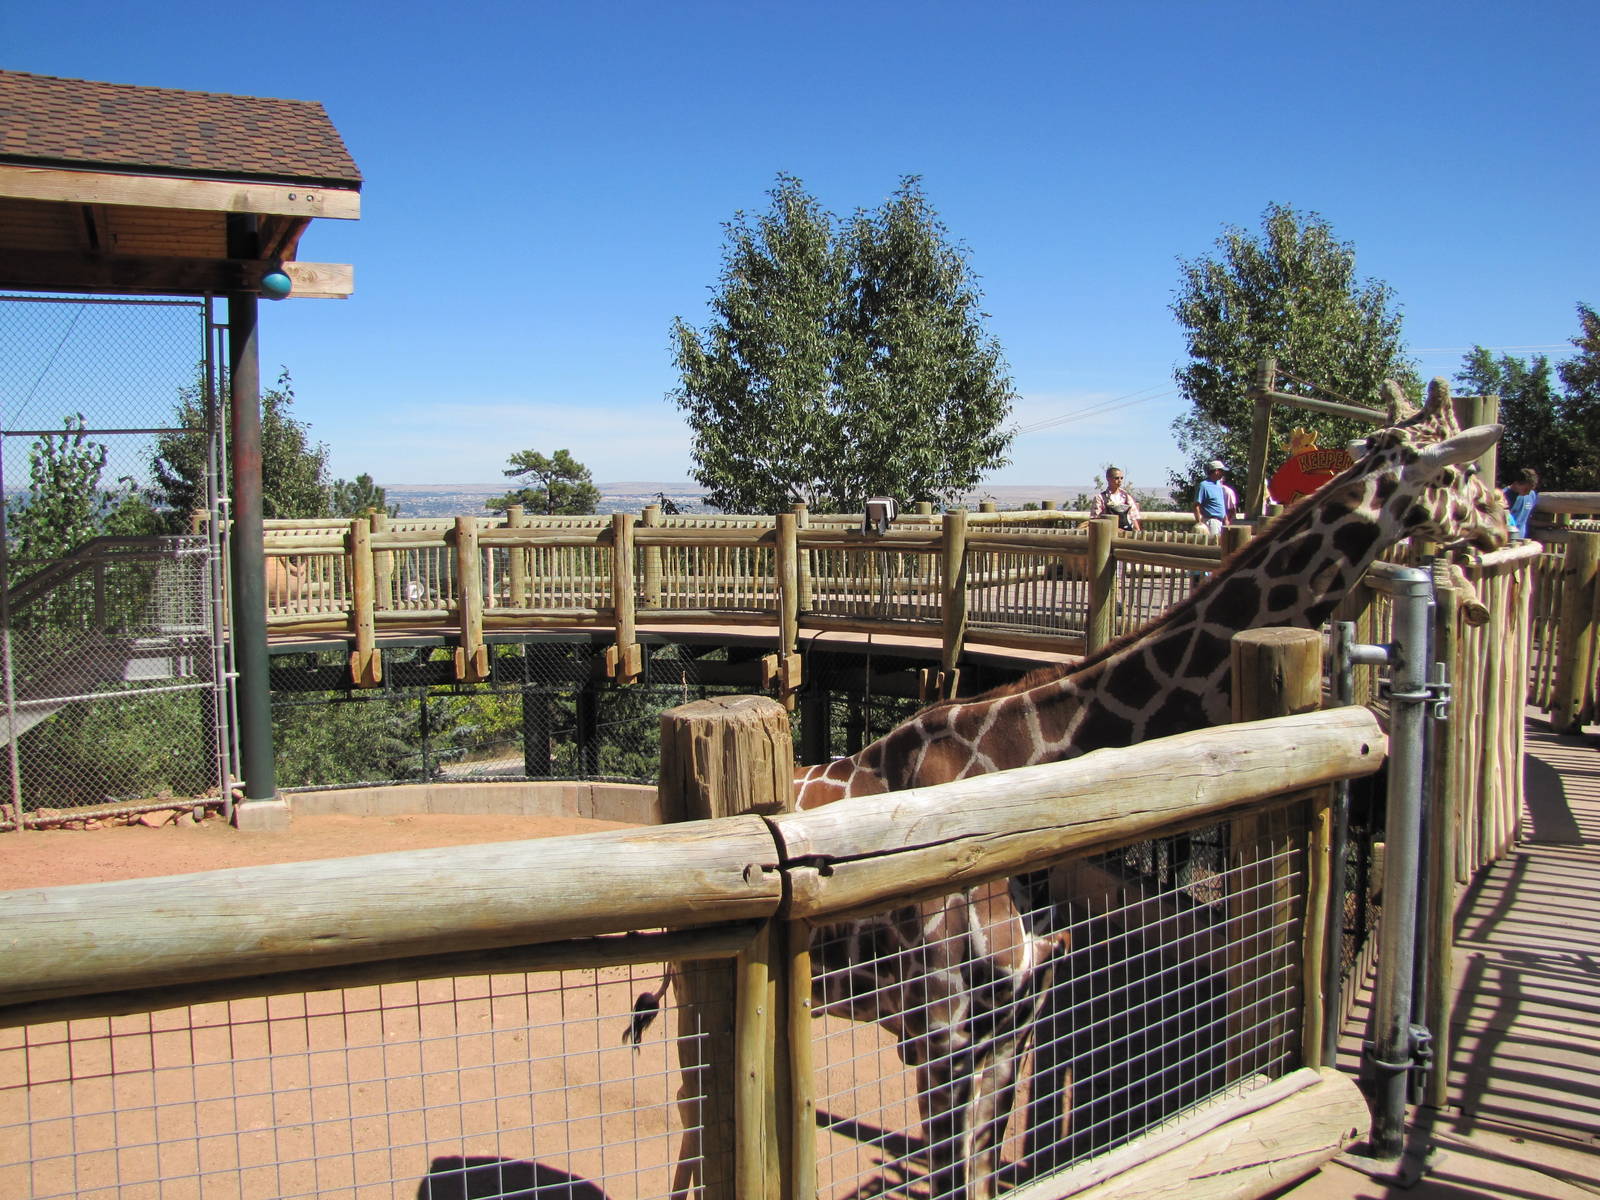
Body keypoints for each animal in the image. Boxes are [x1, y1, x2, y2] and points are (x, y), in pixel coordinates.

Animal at [789, 379, 1509, 1197]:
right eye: (1461, 473)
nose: (1502, 521)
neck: (1012, 759)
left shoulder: (1009, 1026)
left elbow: (987, 1174)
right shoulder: (939, 1033)